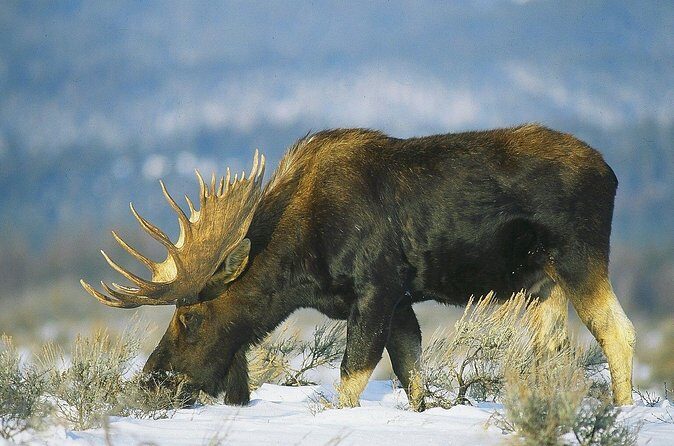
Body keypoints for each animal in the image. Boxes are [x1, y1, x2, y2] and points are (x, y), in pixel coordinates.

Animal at [81, 124, 635, 410]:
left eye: (189, 316)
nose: (152, 379)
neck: (299, 268)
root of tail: (612, 173)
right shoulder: (401, 301)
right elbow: (412, 375)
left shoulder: (377, 288)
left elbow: (351, 377)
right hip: (544, 283)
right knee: (553, 352)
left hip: (579, 256)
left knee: (617, 330)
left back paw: (623, 409)